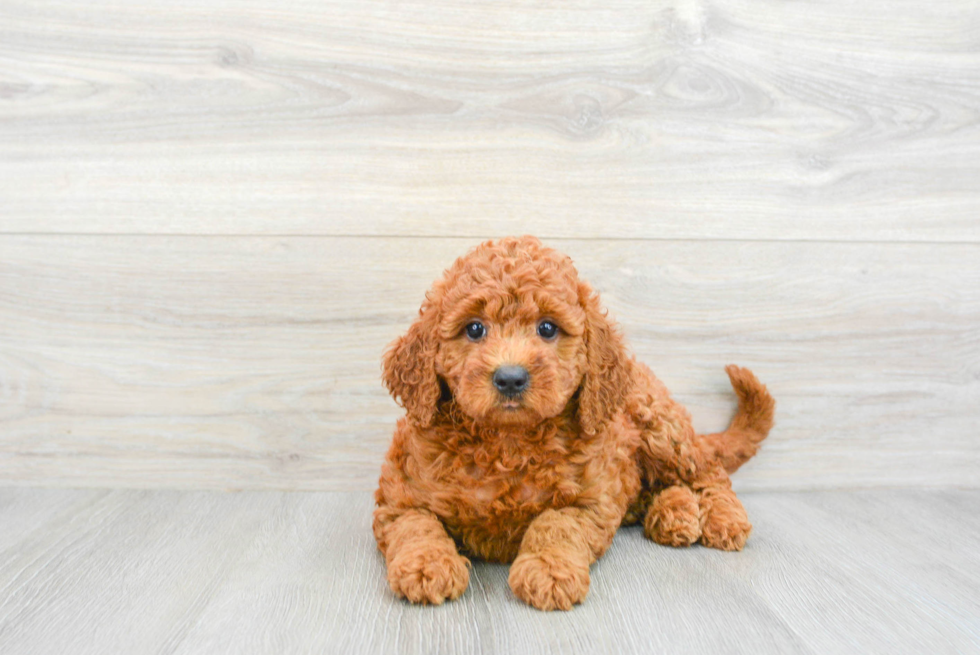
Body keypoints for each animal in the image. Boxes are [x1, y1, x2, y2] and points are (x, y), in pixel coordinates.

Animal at [374, 238, 772, 612]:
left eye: (548, 328)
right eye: (474, 329)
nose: (510, 378)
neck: (508, 442)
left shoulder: (591, 502)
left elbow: (556, 525)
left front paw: (549, 570)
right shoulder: (398, 497)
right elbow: (416, 524)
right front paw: (427, 566)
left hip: (659, 426)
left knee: (708, 473)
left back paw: (722, 519)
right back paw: (674, 513)